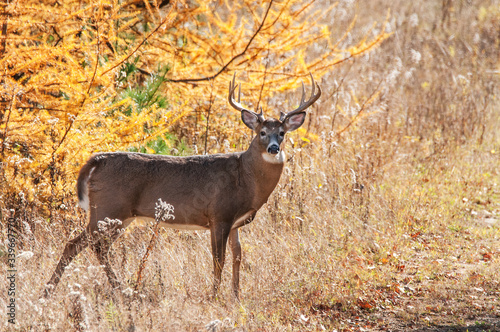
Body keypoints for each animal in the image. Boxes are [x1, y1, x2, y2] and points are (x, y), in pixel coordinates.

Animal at [43, 72, 320, 298]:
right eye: (261, 132)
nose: (273, 148)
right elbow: (218, 259)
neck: (246, 177)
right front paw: (214, 296)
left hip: (117, 214)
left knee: (92, 246)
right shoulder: (219, 214)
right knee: (81, 244)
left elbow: (238, 256)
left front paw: (236, 296)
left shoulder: (234, 222)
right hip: (109, 209)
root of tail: (96, 160)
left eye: (282, 133)